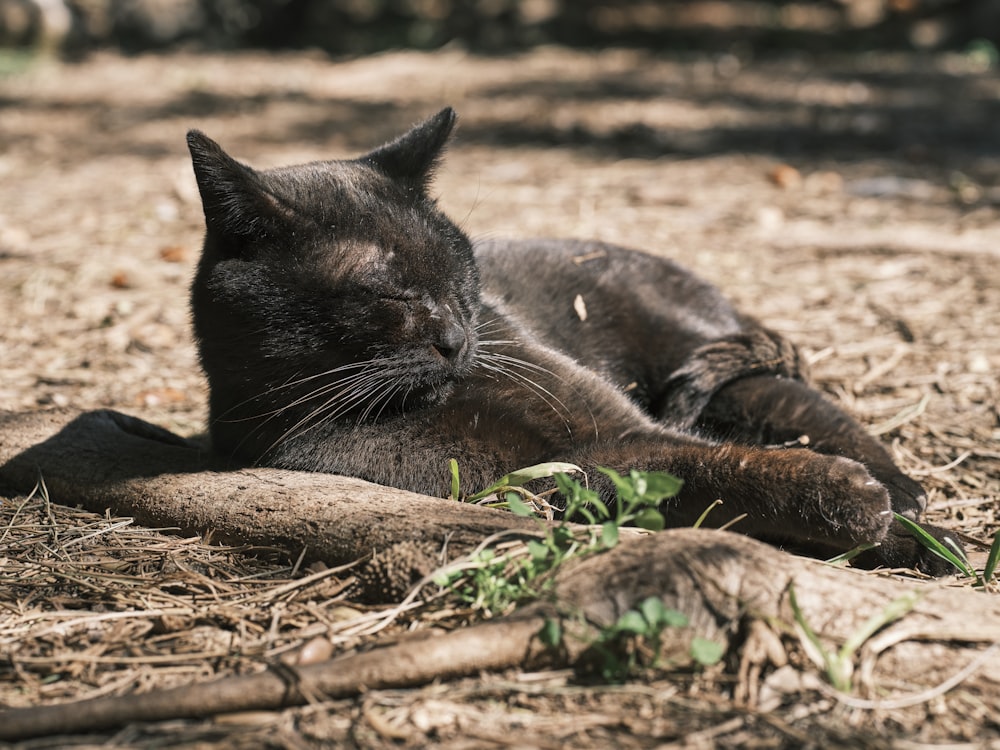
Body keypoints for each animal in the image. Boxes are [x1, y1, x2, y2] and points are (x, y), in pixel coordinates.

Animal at [189, 107, 960, 576]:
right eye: (391, 295)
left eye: (459, 269)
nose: (457, 336)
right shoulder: (579, 465)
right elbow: (711, 471)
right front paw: (851, 506)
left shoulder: (612, 427)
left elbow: (717, 459)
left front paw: (908, 529)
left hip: (715, 369)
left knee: (813, 408)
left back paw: (907, 493)